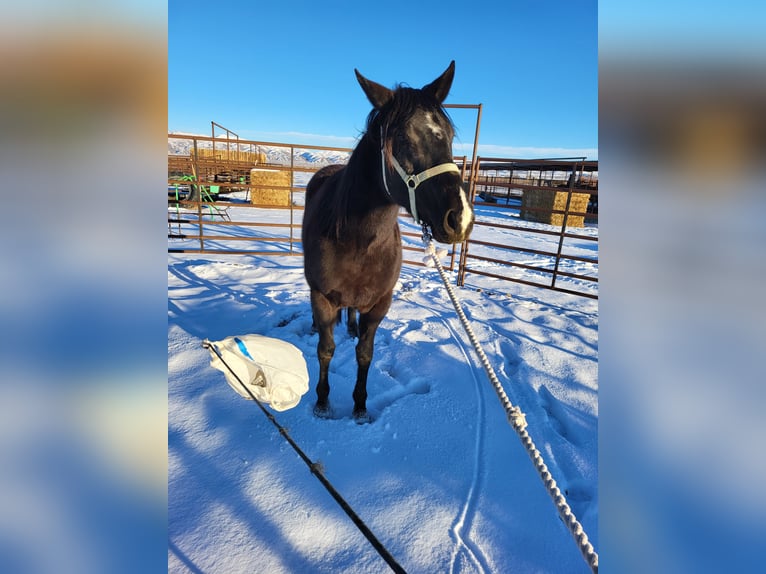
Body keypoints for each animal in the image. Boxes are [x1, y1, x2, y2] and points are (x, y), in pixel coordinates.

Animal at [301, 61, 474, 421]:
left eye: (449, 136)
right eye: (403, 138)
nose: (460, 218)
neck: (357, 241)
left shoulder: (380, 303)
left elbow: (365, 354)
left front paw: (360, 406)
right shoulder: (323, 298)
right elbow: (326, 350)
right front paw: (322, 403)